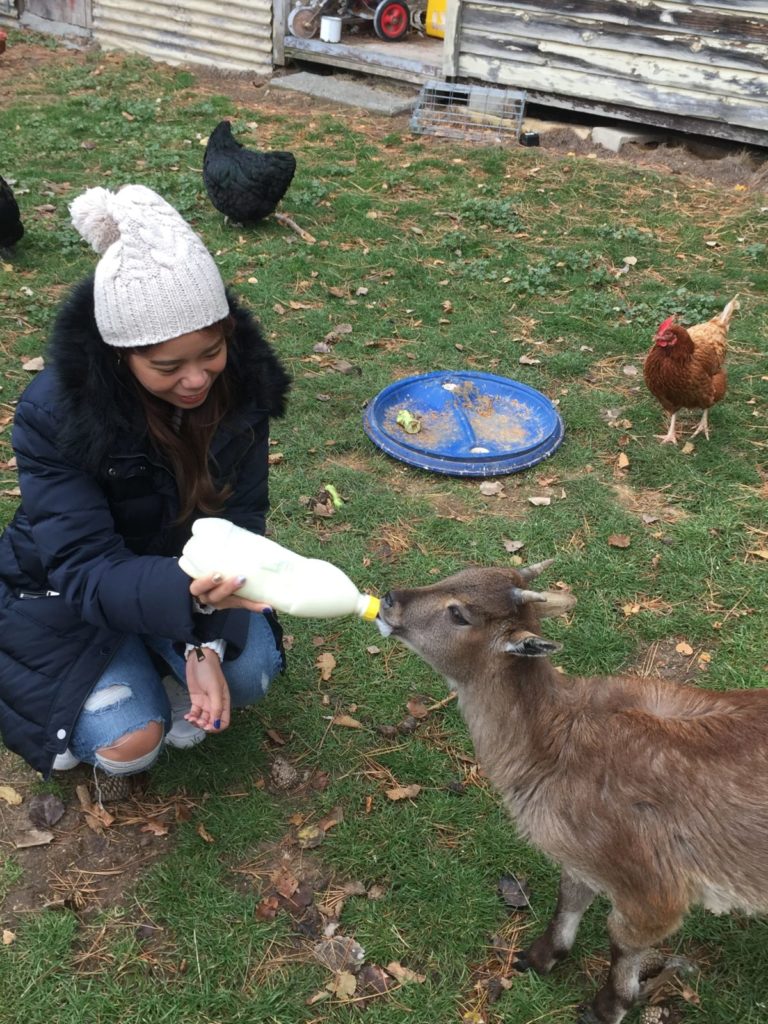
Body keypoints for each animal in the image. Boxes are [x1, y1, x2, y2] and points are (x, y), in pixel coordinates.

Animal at [376, 565, 768, 1019]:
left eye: (459, 614)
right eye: (457, 572)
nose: (389, 599)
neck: (553, 749)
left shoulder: (652, 882)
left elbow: (624, 937)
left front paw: (606, 1007)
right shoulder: (583, 854)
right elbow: (571, 895)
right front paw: (538, 956)